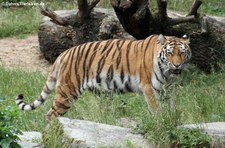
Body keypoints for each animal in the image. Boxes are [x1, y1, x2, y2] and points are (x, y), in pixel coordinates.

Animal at [14, 33, 190, 122]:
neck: (167, 74)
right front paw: (161, 122)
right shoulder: (149, 88)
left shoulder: (169, 89)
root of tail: (64, 54)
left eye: (182, 53)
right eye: (170, 53)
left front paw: (173, 120)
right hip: (67, 92)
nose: (177, 66)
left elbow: (172, 106)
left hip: (103, 94)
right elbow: (156, 109)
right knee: (51, 114)